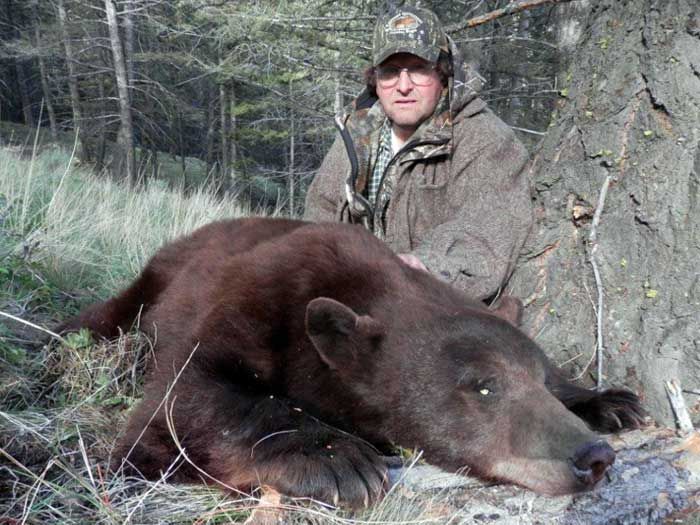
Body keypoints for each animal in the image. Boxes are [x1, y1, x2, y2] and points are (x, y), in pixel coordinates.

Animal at [60, 217, 644, 507]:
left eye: (541, 379)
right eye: (484, 386)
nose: (592, 457)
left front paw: (609, 400)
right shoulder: (256, 296)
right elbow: (179, 406)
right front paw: (338, 458)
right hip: (155, 280)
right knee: (110, 314)